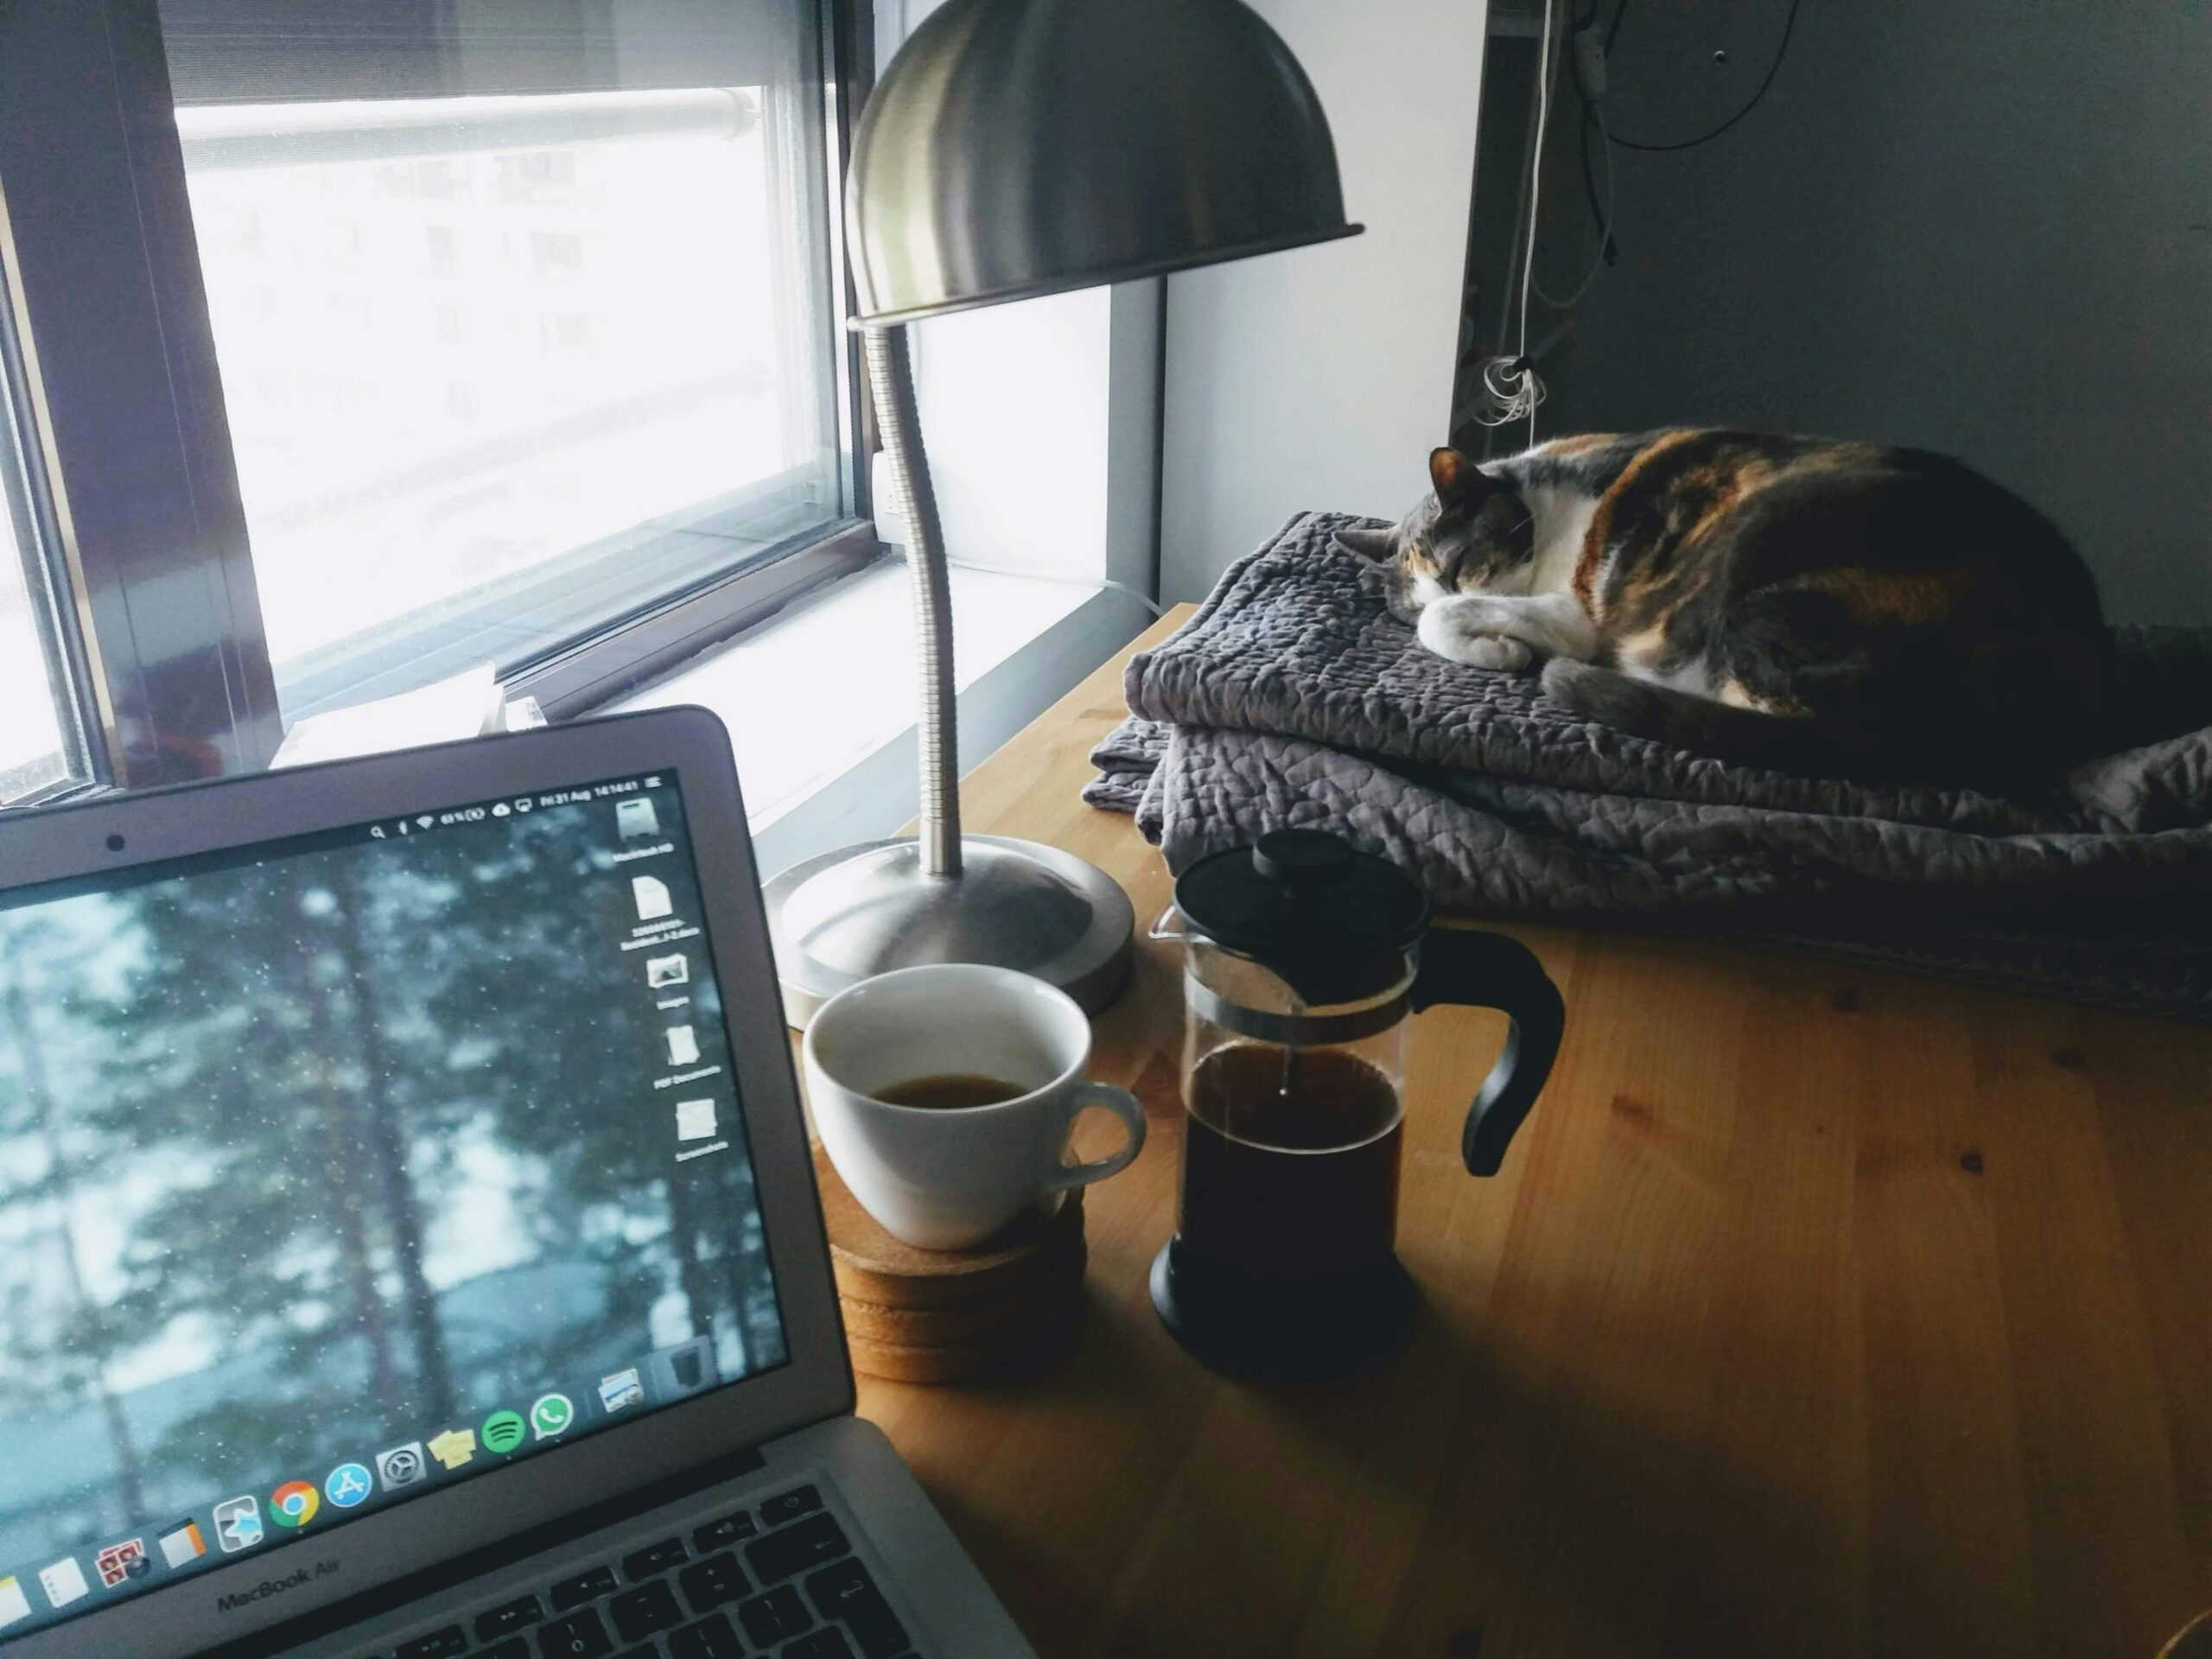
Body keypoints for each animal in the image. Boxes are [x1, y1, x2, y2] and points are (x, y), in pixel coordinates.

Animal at [1336, 429, 2114, 791]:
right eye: (1417, 588)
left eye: (1457, 568)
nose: (1455, 589)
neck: (1543, 497)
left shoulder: (1576, 612)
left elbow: (1457, 627)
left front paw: (1499, 648)